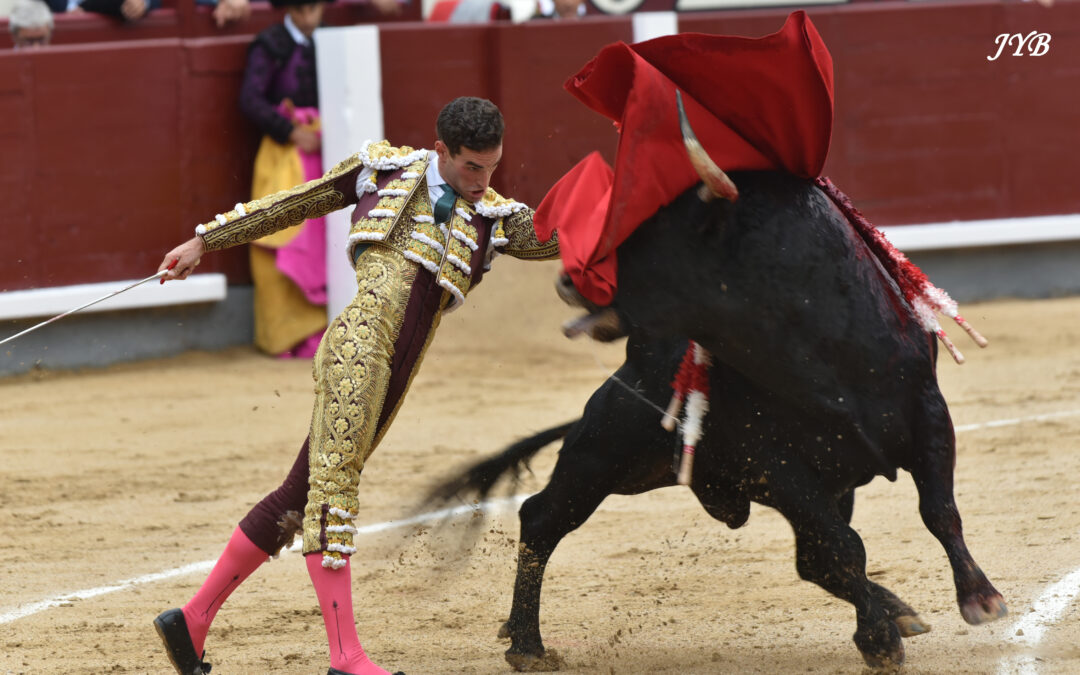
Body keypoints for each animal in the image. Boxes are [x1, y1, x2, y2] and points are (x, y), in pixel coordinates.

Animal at [427, 101, 1002, 669]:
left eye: (650, 229)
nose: (568, 277)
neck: (824, 353)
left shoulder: (929, 413)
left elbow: (937, 512)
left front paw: (980, 599)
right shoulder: (779, 464)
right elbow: (845, 548)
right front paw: (880, 642)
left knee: (811, 560)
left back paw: (900, 611)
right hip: (603, 452)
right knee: (542, 518)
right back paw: (527, 645)